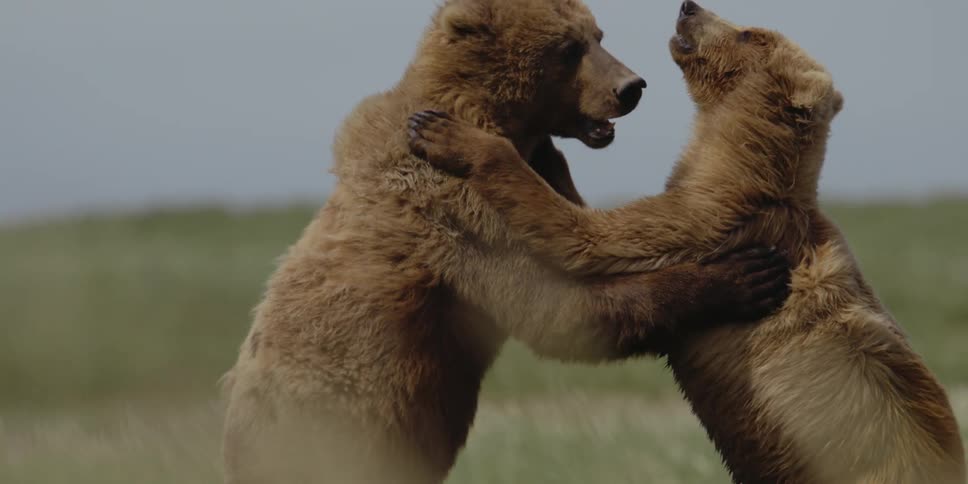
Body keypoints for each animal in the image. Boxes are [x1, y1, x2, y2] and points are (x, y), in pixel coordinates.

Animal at [220, 1, 794, 483]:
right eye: (568, 47)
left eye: (597, 34)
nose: (631, 87)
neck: (492, 116)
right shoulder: (454, 212)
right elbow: (560, 307)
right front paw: (743, 277)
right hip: (332, 432)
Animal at [406, 2, 966, 483]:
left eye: (751, 32)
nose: (689, 6)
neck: (736, 164)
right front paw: (546, 151)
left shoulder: (707, 222)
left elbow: (587, 236)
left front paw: (443, 133)